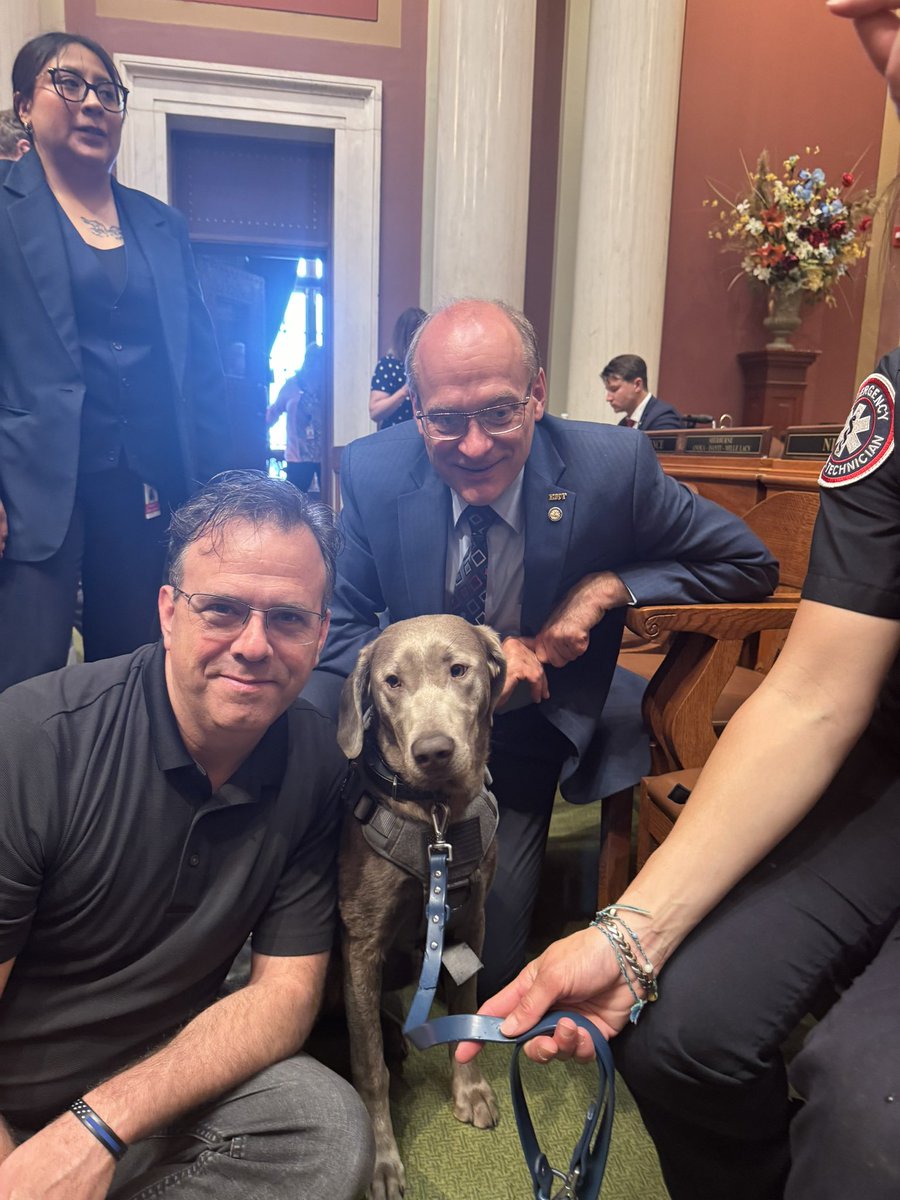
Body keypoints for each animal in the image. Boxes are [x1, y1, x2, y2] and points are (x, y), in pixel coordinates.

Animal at [338, 619, 508, 1200]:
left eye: (458, 669)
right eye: (391, 681)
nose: (433, 750)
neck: (435, 816)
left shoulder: (473, 921)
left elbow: (466, 1009)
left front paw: (470, 1090)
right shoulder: (361, 947)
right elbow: (368, 1068)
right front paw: (382, 1159)